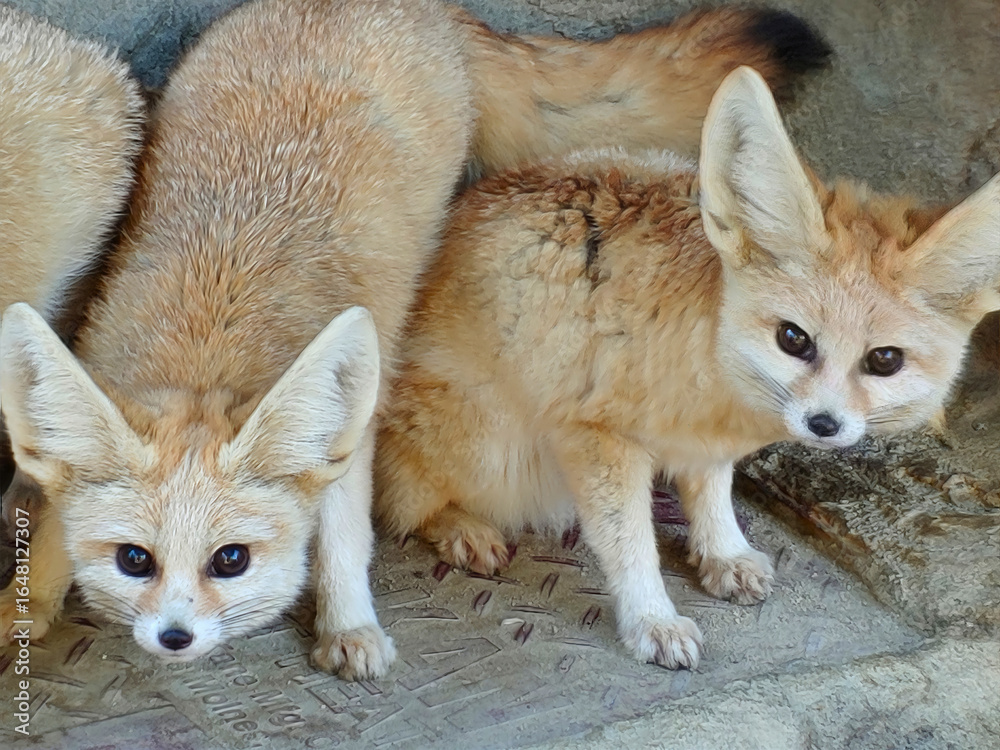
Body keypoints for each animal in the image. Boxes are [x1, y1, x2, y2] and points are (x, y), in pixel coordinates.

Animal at [0, 0, 829, 680]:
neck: (211, 334)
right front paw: (28, 605)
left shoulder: (349, 431)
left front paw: (349, 627)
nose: (174, 638)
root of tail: (410, 5)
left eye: (229, 561)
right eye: (134, 560)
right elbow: (49, 524)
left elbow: (344, 543)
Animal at [374, 67, 1000, 670]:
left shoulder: (705, 444)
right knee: (400, 501)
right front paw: (651, 620)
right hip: (489, 443)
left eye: (884, 360)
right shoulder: (595, 436)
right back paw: (461, 527)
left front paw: (722, 551)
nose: (824, 425)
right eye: (793, 339)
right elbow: (629, 543)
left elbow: (713, 489)